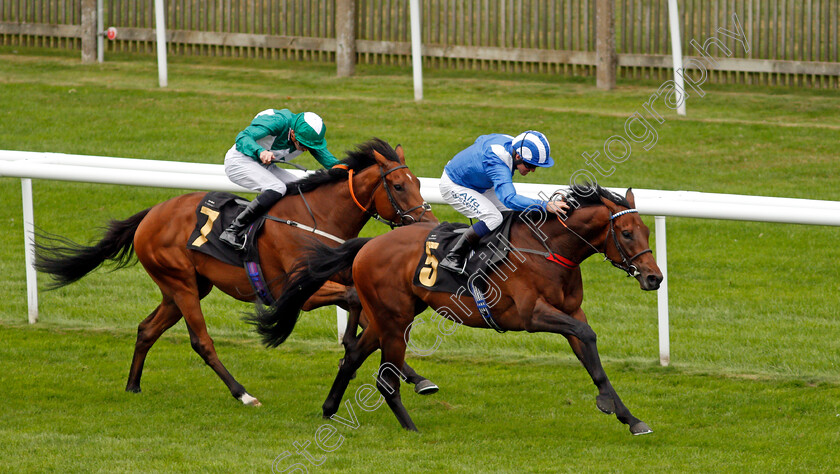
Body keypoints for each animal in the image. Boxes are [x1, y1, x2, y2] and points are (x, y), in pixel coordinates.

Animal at [31, 138, 440, 408]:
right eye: (399, 185)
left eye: (421, 184)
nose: (429, 224)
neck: (317, 218)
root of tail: (151, 214)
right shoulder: (299, 292)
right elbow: (356, 303)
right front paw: (353, 350)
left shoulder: (335, 278)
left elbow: (368, 312)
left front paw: (415, 377)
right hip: (181, 284)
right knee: (201, 341)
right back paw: (242, 393)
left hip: (184, 287)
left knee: (147, 329)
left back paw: (133, 385)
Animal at [254, 184, 664, 434]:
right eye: (626, 233)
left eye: (645, 230)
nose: (654, 277)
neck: (547, 249)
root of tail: (368, 244)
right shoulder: (531, 316)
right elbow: (586, 336)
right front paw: (608, 404)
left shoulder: (571, 313)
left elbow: (590, 352)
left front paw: (629, 416)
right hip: (394, 320)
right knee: (385, 378)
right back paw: (410, 428)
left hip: (391, 316)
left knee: (352, 355)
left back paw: (329, 407)